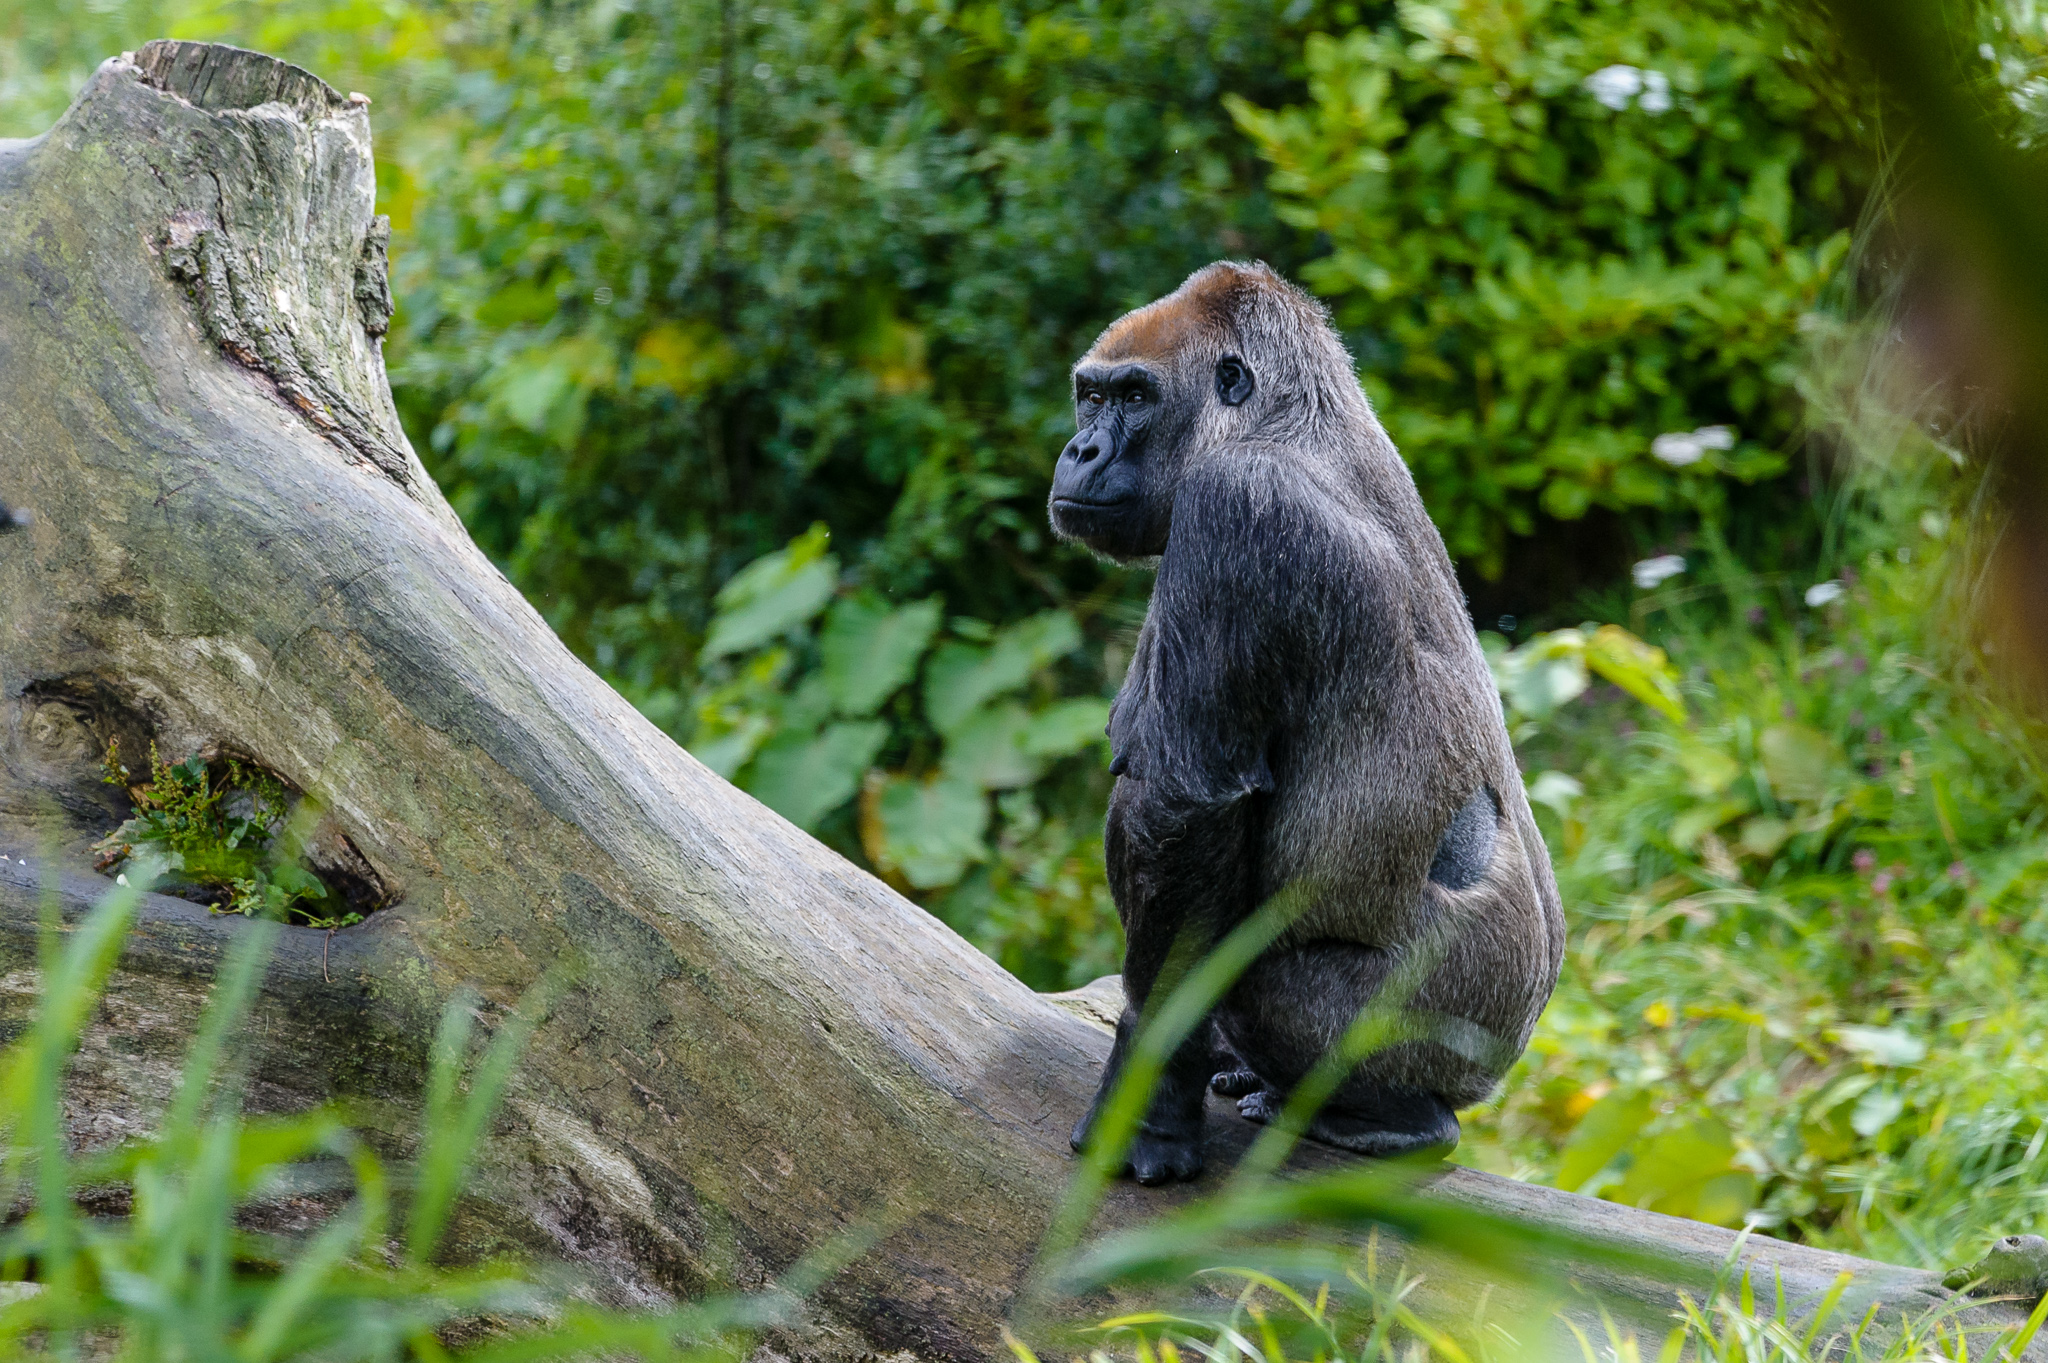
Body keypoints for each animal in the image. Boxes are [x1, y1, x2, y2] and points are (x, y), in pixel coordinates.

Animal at [1049, 261, 1564, 1184]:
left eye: (1136, 397)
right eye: (1090, 397)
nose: (1081, 451)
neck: (1287, 418)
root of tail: (1512, 1054)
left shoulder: (1241, 509)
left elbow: (1181, 806)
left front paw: (1149, 1104)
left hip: (1451, 1042)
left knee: (1266, 991)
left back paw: (1397, 1121)